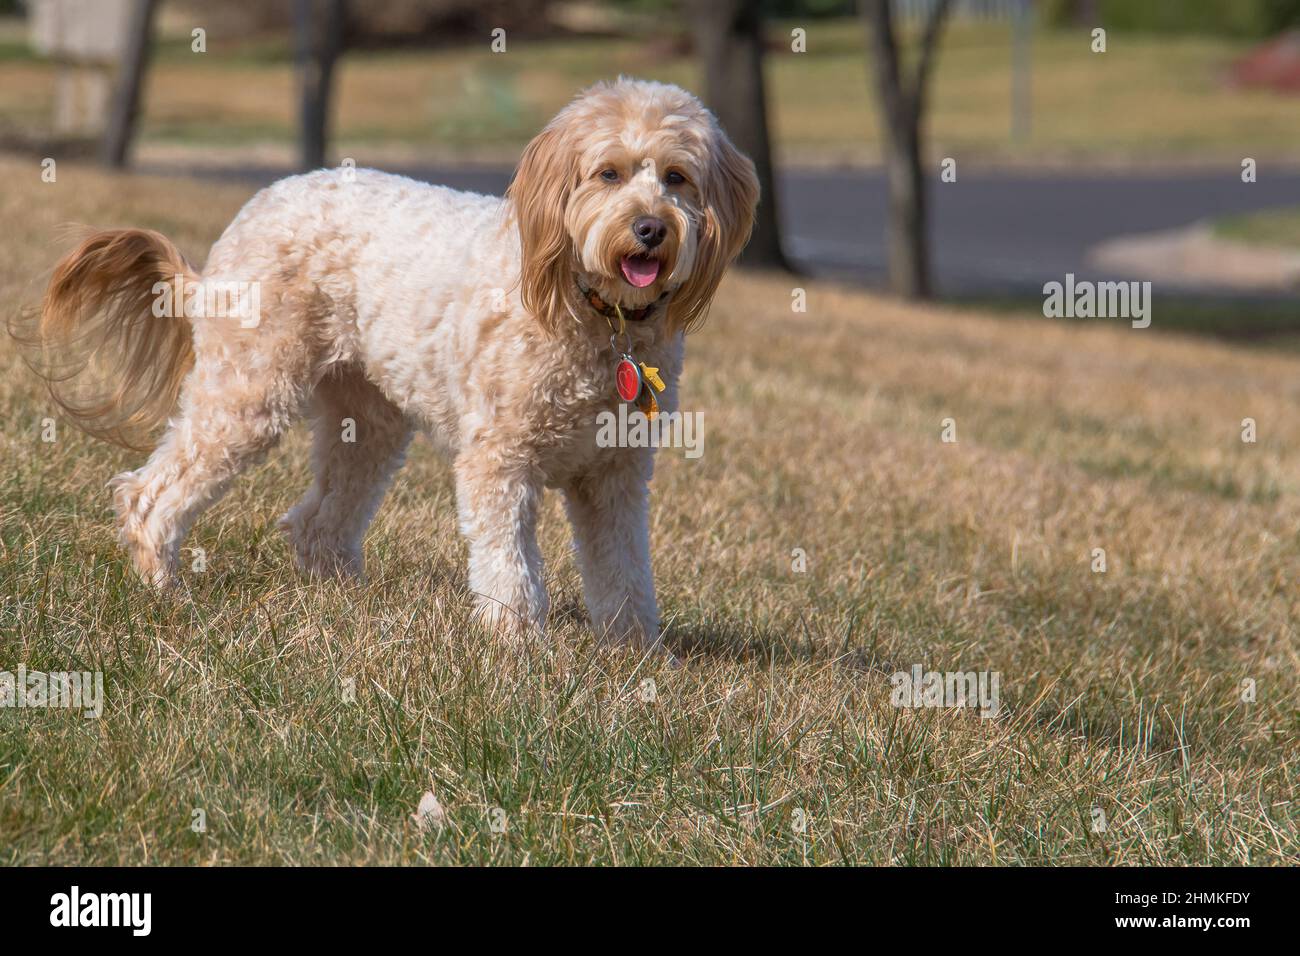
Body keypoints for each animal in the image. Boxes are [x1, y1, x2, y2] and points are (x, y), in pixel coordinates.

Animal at [22, 78, 759, 650]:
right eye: (608, 173)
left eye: (677, 178)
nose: (651, 228)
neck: (595, 313)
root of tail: (252, 210)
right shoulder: (499, 461)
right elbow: (509, 564)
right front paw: (518, 648)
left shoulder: (614, 476)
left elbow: (625, 572)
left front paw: (634, 655)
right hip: (251, 389)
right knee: (152, 492)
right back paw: (162, 587)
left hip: (368, 421)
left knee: (318, 520)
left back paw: (344, 602)